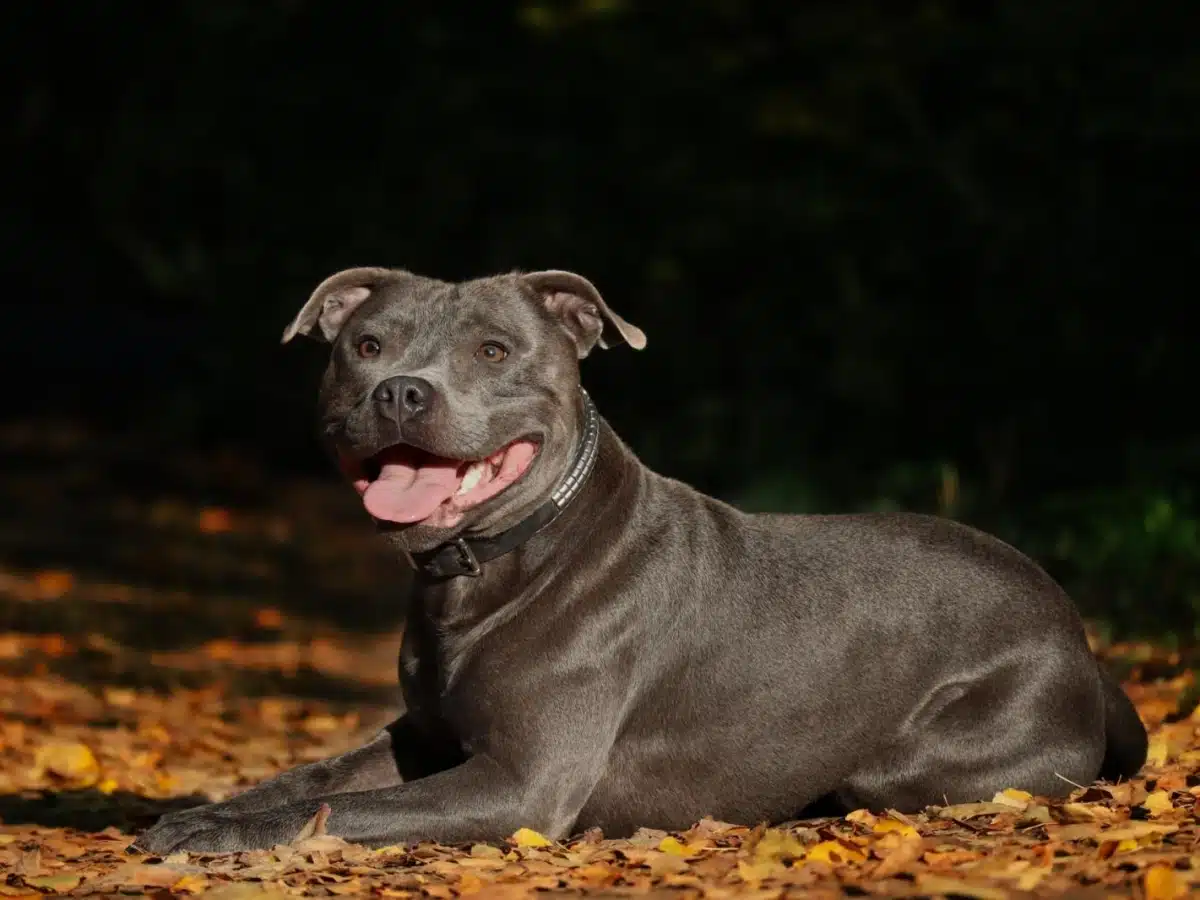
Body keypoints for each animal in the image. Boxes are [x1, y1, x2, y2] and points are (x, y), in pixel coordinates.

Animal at [133, 266, 1142, 854]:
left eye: (493, 350)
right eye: (364, 346)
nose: (400, 392)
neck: (493, 565)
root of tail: (1081, 640)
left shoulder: (521, 783)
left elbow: (339, 811)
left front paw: (216, 835)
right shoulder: (424, 736)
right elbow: (312, 781)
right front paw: (204, 812)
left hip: (922, 755)